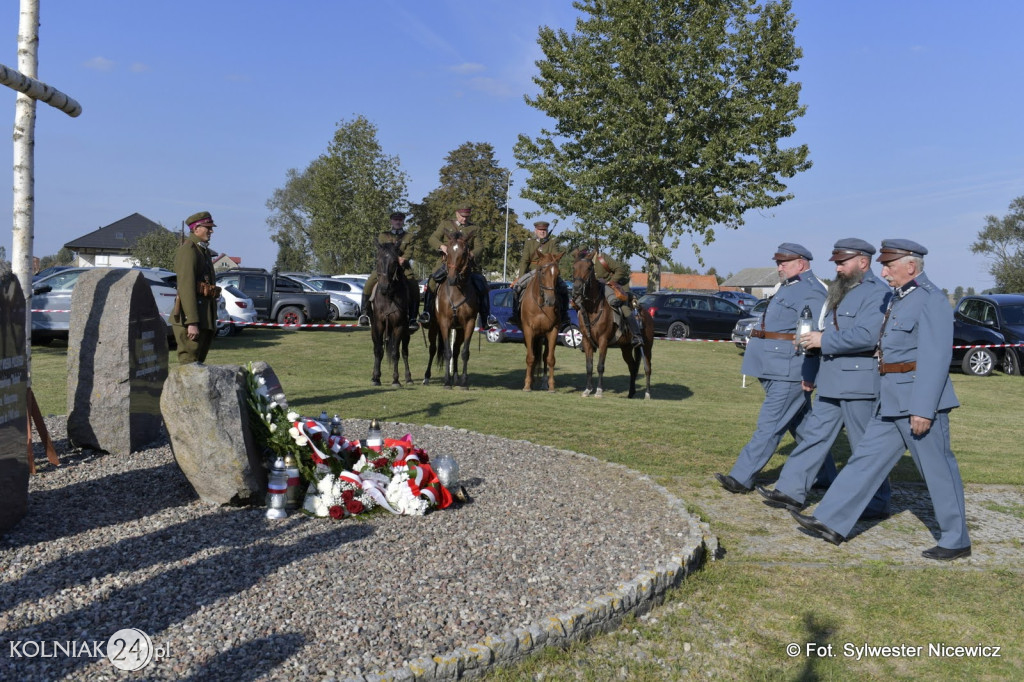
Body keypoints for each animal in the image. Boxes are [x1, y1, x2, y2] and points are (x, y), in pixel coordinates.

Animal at [372, 241, 411, 385]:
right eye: (377, 261)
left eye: (394, 262)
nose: (384, 287)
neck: (389, 297)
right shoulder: (378, 325)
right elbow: (378, 351)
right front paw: (376, 377)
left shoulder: (399, 327)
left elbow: (395, 353)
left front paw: (396, 380)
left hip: (406, 332)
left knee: (404, 351)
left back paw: (408, 377)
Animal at [419, 228, 479, 387]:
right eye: (449, 252)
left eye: (464, 253)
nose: (452, 278)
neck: (457, 291)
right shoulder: (444, 323)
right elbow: (446, 351)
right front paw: (446, 382)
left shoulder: (469, 324)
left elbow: (464, 352)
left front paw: (463, 381)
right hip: (434, 327)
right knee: (433, 349)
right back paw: (426, 377)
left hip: (459, 329)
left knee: (456, 350)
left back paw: (456, 377)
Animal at [520, 249, 569, 391]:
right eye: (542, 272)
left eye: (558, 273)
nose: (551, 300)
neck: (540, 304)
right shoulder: (528, 330)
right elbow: (530, 357)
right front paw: (527, 385)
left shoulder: (553, 331)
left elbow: (550, 358)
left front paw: (551, 386)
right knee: (534, 355)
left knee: (544, 355)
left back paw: (543, 382)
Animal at [573, 251, 651, 395]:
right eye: (574, 267)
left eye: (589, 268)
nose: (576, 288)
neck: (592, 308)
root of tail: (646, 314)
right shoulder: (586, 340)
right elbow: (589, 366)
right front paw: (587, 389)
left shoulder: (603, 341)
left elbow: (600, 366)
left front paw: (598, 391)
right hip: (626, 348)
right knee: (632, 366)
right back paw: (631, 393)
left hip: (647, 347)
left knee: (648, 367)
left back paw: (647, 393)